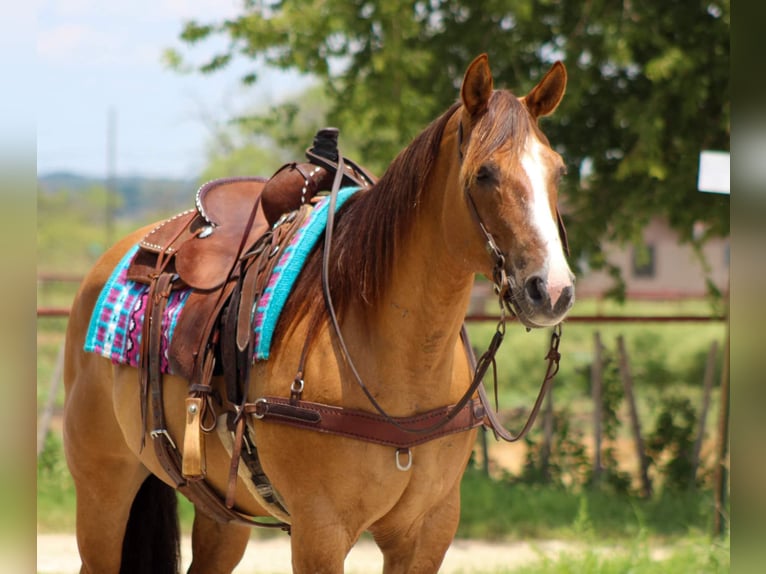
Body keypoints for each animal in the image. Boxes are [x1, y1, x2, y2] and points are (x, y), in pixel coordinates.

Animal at [63, 54, 574, 573]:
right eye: (485, 173)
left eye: (559, 171)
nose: (551, 290)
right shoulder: (319, 532)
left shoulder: (429, 530)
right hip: (103, 487)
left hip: (223, 513)